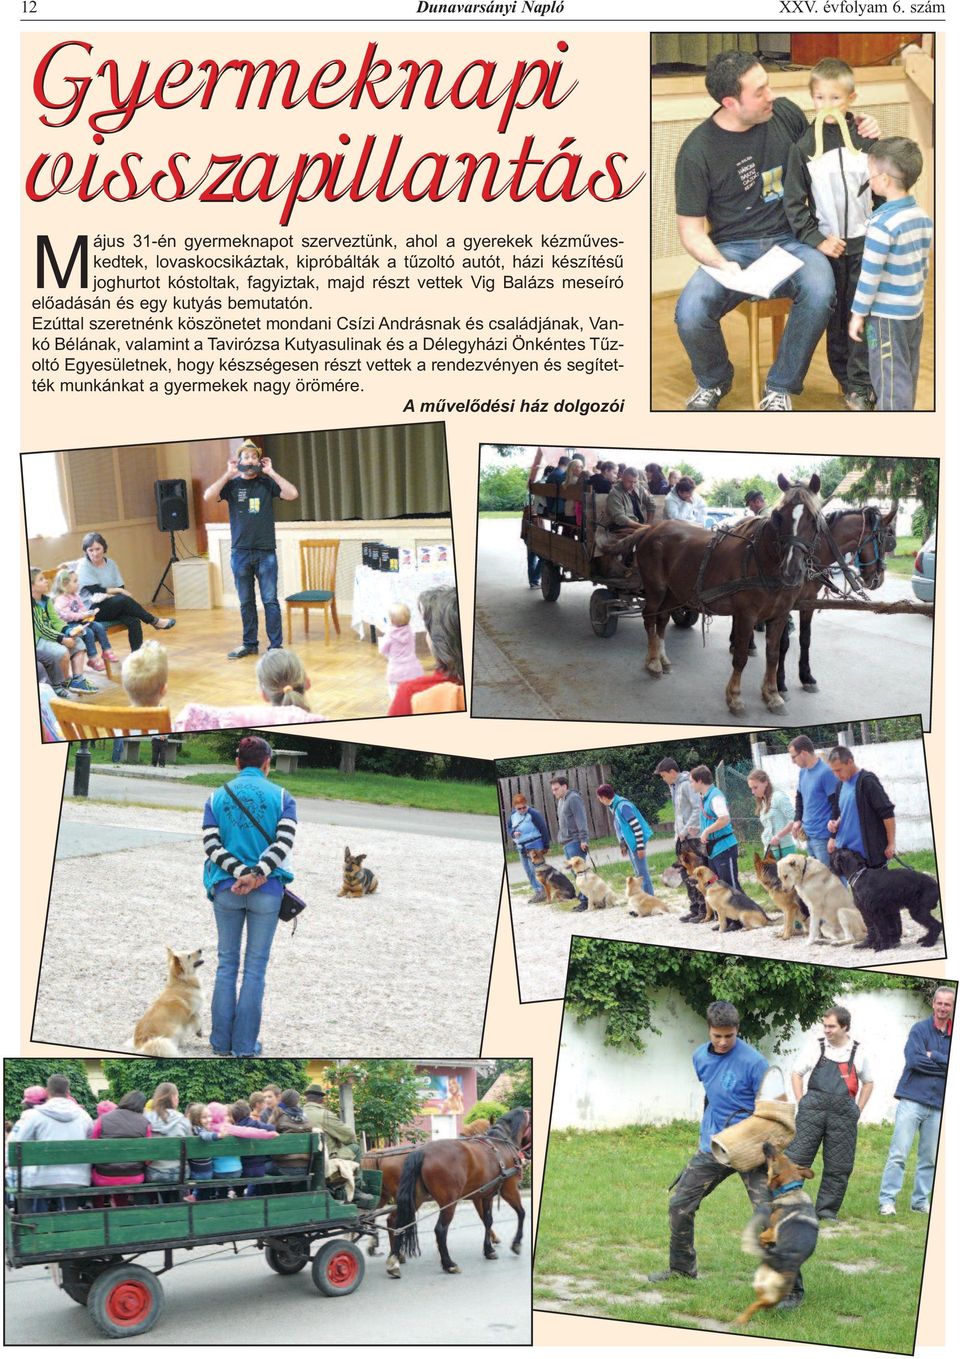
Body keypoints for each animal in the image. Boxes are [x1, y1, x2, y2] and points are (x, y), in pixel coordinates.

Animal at [383, 1108, 530, 1277]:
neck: (501, 1144)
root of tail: (423, 1152)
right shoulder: (509, 1189)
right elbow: (521, 1213)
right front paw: (516, 1243)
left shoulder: (485, 1196)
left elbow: (488, 1220)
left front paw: (489, 1250)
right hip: (449, 1202)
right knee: (440, 1230)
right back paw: (449, 1264)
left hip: (416, 1199)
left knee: (397, 1222)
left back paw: (394, 1259)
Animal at [636, 472, 821, 717]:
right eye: (779, 516)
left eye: (813, 519)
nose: (791, 571)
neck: (762, 559)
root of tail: (652, 529)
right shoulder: (746, 616)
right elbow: (740, 657)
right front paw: (734, 697)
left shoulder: (779, 615)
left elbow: (772, 655)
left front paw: (773, 695)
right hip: (656, 589)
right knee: (649, 618)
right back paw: (653, 662)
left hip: (675, 592)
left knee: (662, 619)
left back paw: (662, 658)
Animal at [734, 1136, 815, 1326]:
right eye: (783, 1155)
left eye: (774, 1158)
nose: (766, 1143)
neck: (792, 1190)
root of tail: (779, 1259)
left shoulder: (771, 1231)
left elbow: (763, 1235)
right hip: (764, 1287)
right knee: (758, 1303)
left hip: (770, 1292)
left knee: (758, 1304)